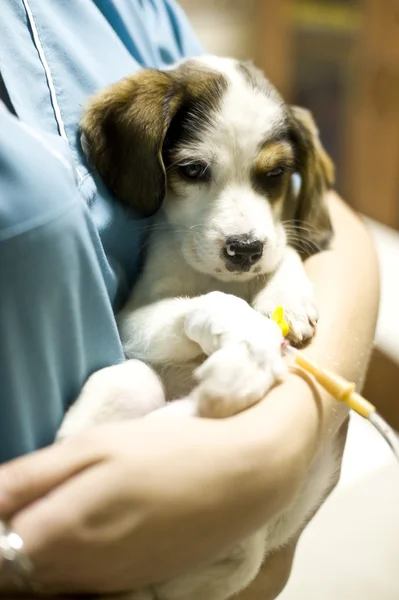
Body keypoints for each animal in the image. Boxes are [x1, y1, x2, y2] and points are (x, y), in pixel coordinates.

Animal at [58, 56, 340, 600]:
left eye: (276, 174)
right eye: (192, 171)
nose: (245, 249)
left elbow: (286, 249)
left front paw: (284, 296)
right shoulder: (132, 317)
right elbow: (209, 304)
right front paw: (246, 335)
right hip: (129, 381)